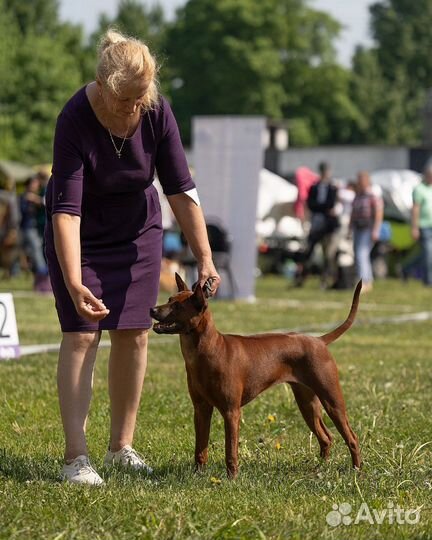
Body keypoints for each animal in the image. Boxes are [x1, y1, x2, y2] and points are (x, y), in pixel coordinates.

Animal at [151, 276, 362, 478]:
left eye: (178, 306)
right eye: (169, 299)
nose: (152, 309)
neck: (209, 350)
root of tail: (319, 340)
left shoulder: (231, 412)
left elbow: (230, 450)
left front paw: (232, 479)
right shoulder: (201, 409)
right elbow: (200, 449)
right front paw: (198, 475)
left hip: (332, 401)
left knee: (351, 437)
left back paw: (356, 471)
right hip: (307, 403)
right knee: (326, 438)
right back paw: (320, 468)